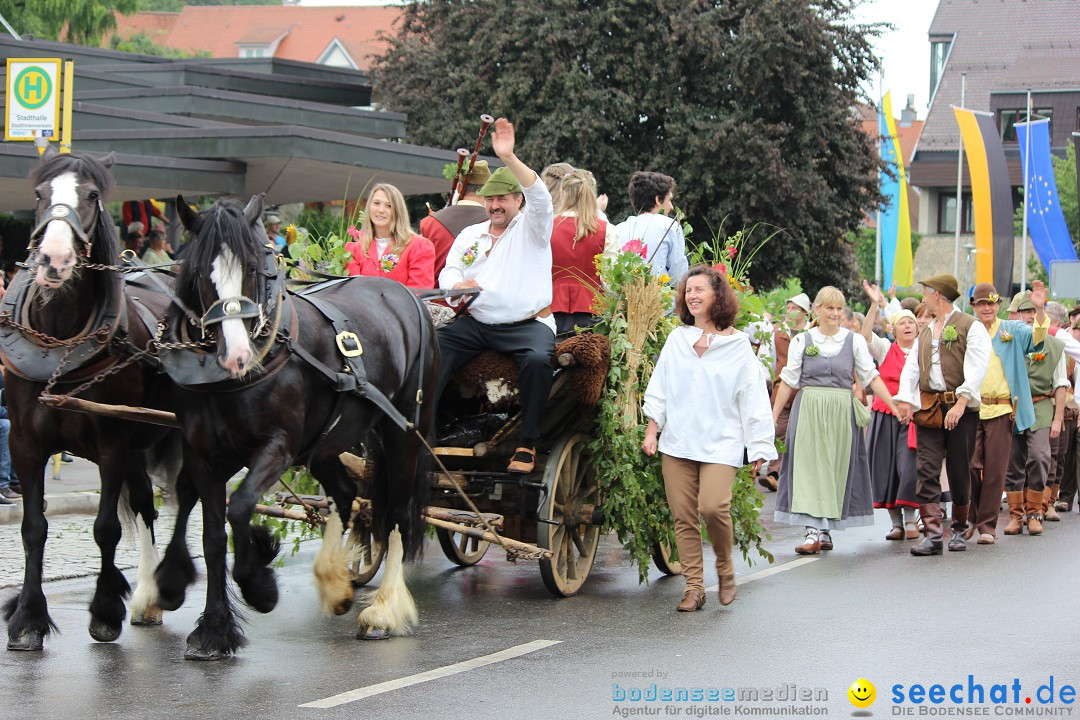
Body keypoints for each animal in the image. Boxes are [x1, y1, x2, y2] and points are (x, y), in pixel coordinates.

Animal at [1, 148, 180, 651]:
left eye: (93, 196)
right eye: (39, 194)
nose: (56, 259)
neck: (61, 342)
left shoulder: (112, 444)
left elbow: (105, 528)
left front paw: (103, 612)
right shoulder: (23, 443)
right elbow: (33, 527)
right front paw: (27, 619)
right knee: (145, 504)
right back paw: (148, 600)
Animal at [156, 193, 434, 660]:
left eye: (252, 268)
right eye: (197, 272)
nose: (236, 356)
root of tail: (405, 295)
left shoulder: (277, 447)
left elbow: (241, 506)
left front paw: (259, 584)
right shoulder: (204, 454)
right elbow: (211, 535)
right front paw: (212, 629)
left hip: (401, 432)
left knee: (397, 514)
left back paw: (383, 611)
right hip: (331, 440)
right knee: (345, 494)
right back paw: (336, 583)